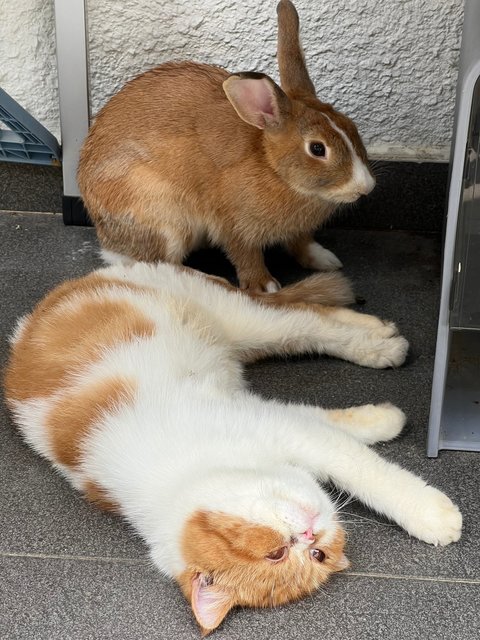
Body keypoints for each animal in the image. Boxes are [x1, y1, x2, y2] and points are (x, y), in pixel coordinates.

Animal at [2, 262, 462, 632]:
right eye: (297, 554)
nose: (308, 533)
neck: (194, 469)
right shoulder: (276, 420)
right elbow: (334, 429)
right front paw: (382, 422)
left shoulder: (269, 423)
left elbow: (366, 471)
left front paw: (430, 513)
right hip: (243, 341)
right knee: (305, 321)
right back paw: (377, 339)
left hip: (239, 316)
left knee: (306, 316)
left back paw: (381, 340)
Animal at [78, 0, 376, 296]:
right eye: (317, 149)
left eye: (351, 126)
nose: (366, 187)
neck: (274, 168)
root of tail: (109, 243)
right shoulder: (233, 226)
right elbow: (245, 255)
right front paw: (265, 285)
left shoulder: (296, 231)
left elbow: (301, 242)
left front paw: (326, 260)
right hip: (167, 219)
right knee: (161, 263)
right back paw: (207, 278)